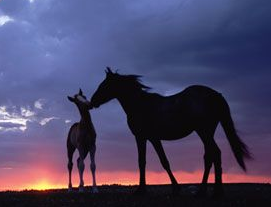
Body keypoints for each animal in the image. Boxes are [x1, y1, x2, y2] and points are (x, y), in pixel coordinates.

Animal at [90, 68, 253, 197]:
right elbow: (157, 162)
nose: (92, 101)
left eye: (105, 85)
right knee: (209, 157)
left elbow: (150, 162)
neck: (140, 105)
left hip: (204, 131)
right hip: (207, 133)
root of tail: (216, 95)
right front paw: (169, 188)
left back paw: (216, 192)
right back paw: (202, 191)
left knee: (215, 154)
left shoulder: (144, 138)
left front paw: (144, 190)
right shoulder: (150, 138)